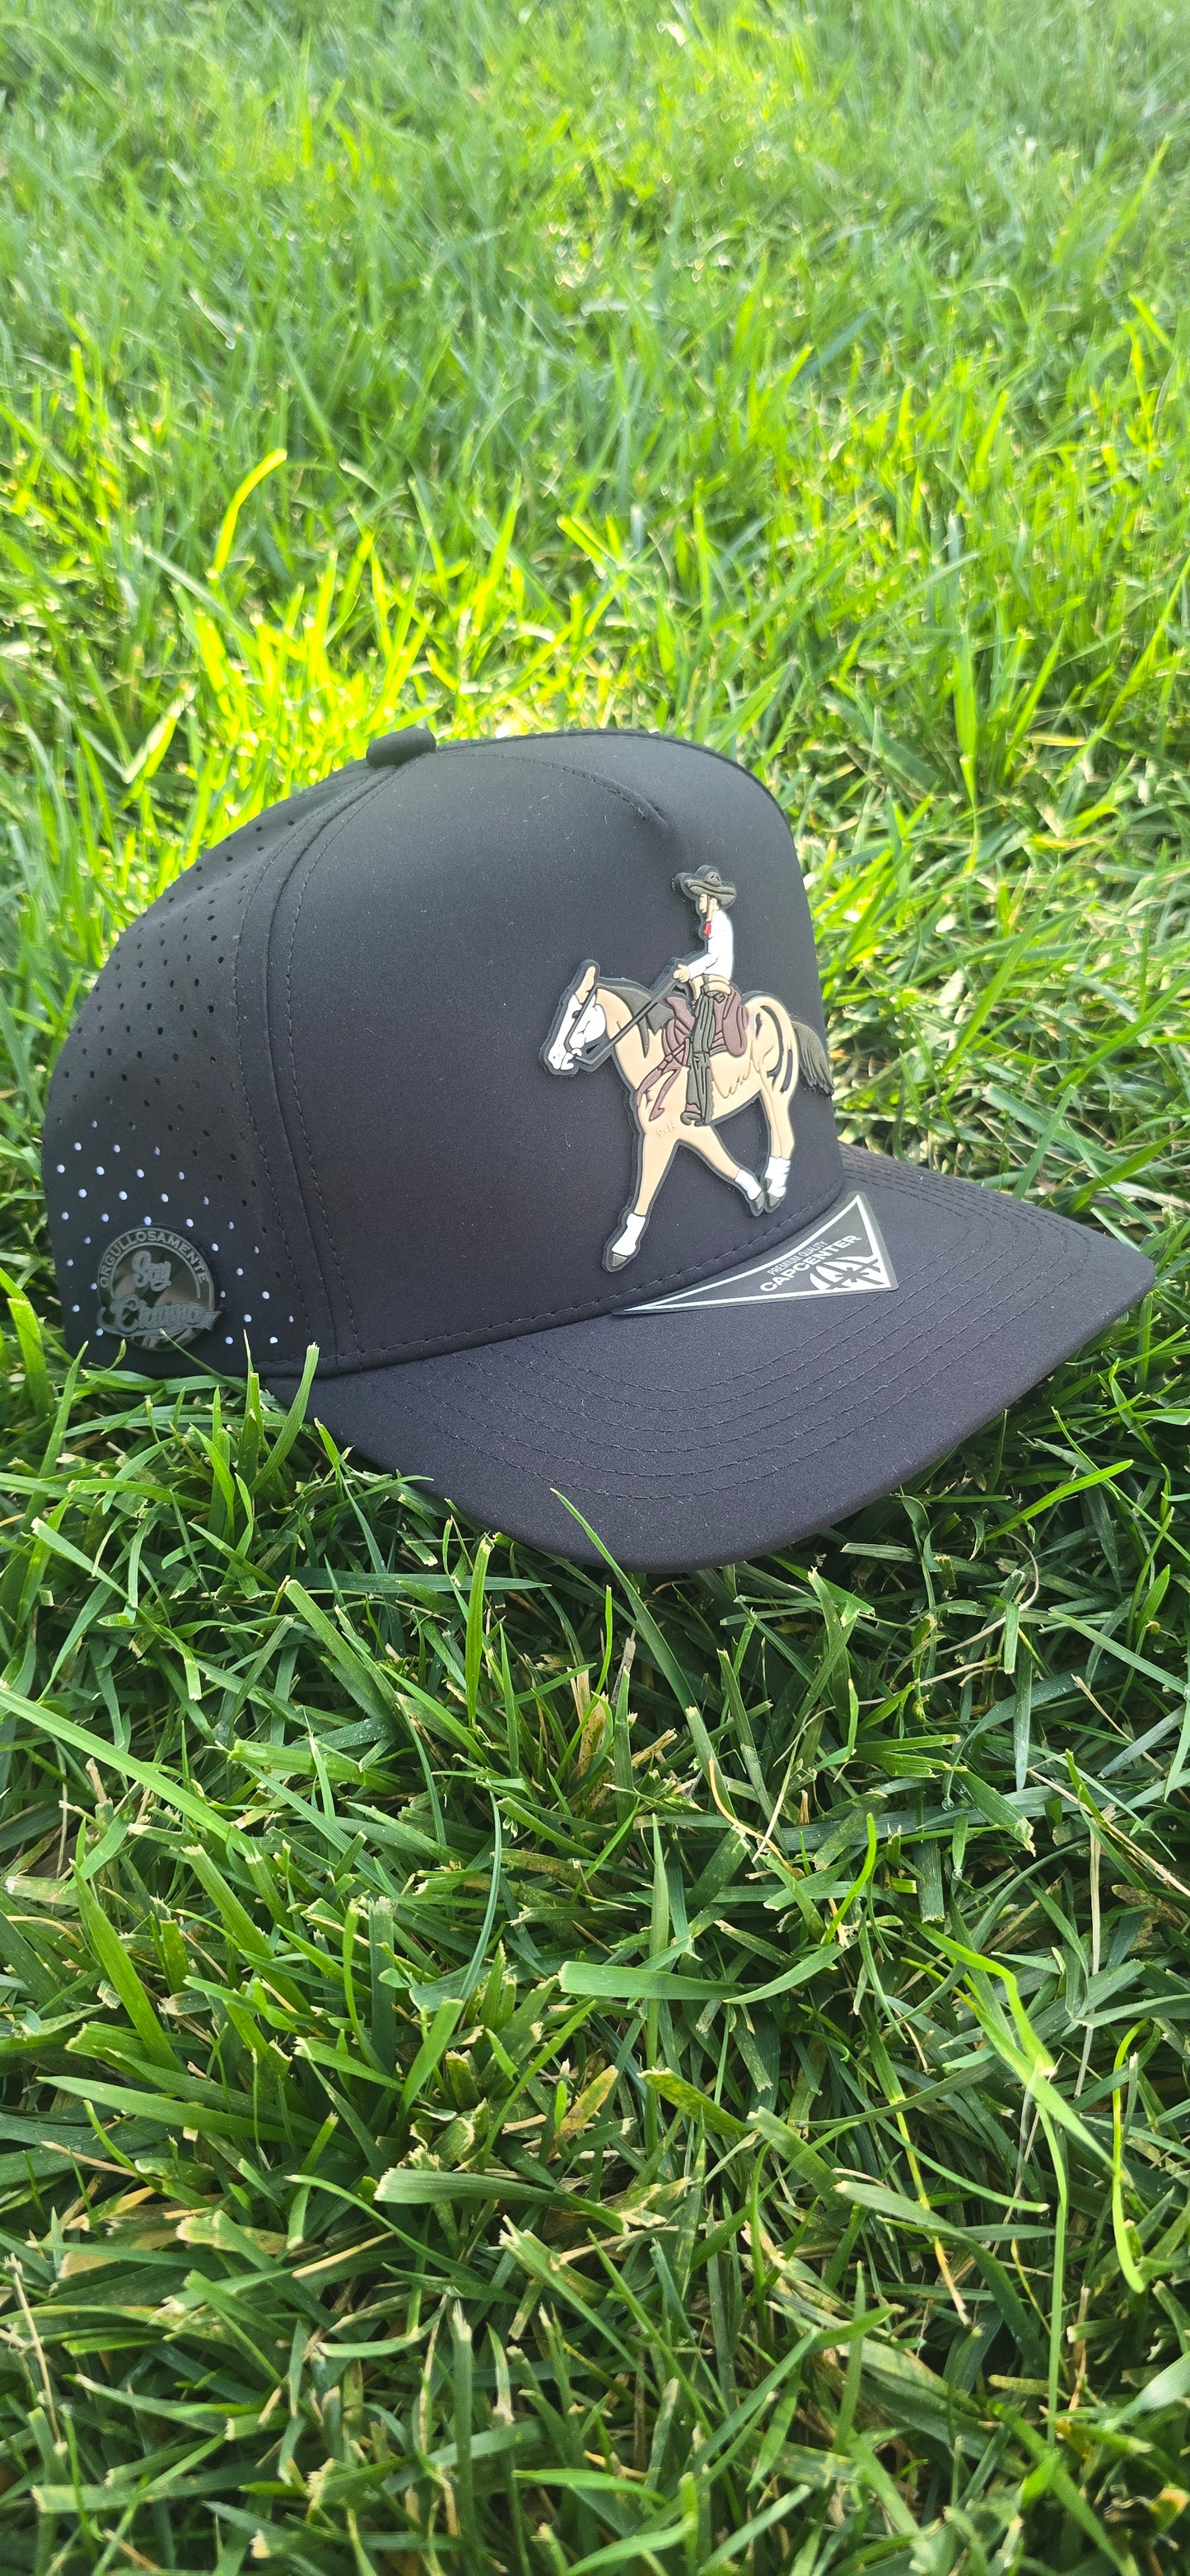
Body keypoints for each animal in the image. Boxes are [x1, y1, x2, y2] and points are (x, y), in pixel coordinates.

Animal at [541, 960, 833, 1271]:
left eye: (576, 1013)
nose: (555, 1058)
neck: (656, 1056)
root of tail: (776, 1009)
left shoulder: (662, 1134)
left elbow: (649, 1186)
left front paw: (622, 1247)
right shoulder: (692, 1129)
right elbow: (722, 1160)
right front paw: (755, 1193)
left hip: (775, 1089)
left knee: (784, 1136)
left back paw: (776, 1187)